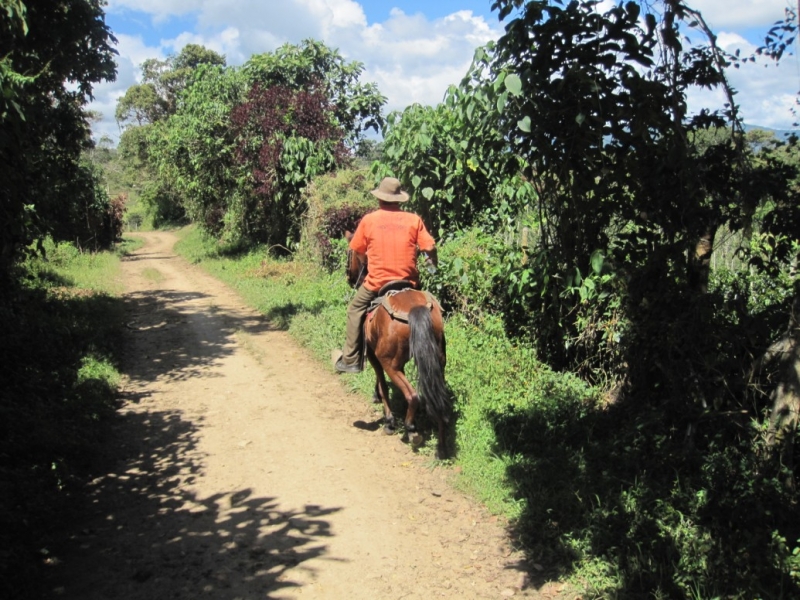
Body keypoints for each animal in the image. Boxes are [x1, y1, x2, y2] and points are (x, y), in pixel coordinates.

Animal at [344, 241, 450, 458]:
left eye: (350, 252)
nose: (349, 276)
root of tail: (413, 308)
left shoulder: (375, 357)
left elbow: (383, 386)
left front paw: (389, 421)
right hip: (438, 360)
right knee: (438, 397)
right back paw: (441, 447)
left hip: (390, 363)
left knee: (413, 395)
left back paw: (411, 429)